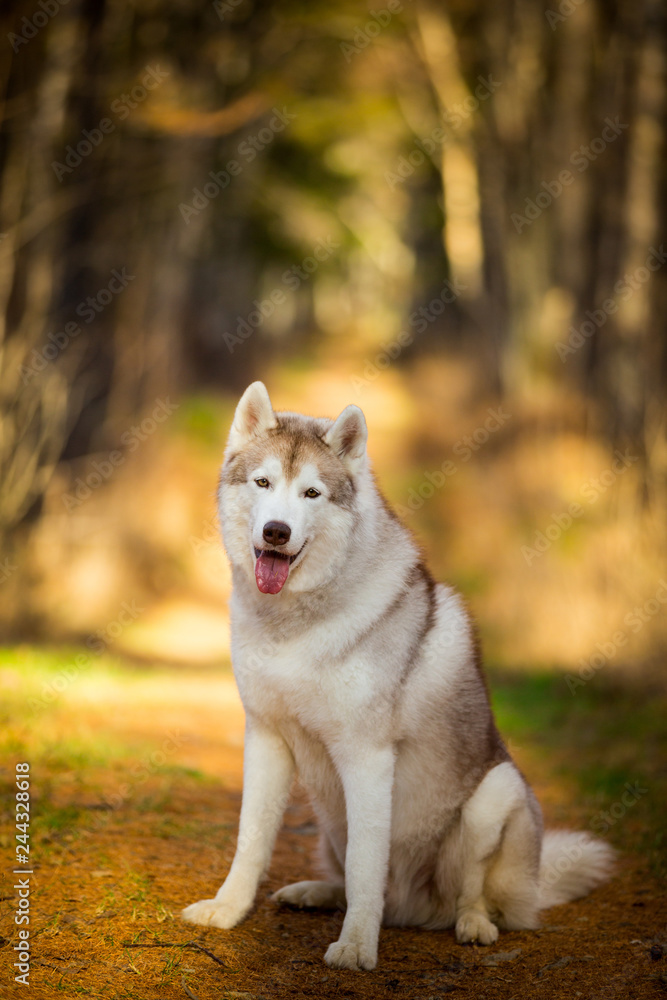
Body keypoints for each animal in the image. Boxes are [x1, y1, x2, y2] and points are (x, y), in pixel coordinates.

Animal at [180, 380, 612, 968]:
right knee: (345, 877)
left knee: (471, 896)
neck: (294, 624)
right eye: (263, 482)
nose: (276, 531)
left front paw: (357, 946)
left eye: (312, 493)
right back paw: (315, 892)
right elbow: (252, 841)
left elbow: (367, 866)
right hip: (329, 825)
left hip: (494, 795)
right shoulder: (265, 738)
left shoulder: (366, 758)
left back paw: (472, 924)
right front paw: (228, 910)